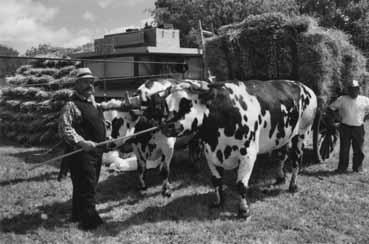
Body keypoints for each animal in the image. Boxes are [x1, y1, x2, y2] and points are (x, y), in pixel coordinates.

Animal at [149, 79, 316, 218]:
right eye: (165, 105)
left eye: (186, 103)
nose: (167, 126)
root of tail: (304, 87)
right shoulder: (210, 155)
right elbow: (216, 181)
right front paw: (219, 202)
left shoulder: (248, 155)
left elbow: (241, 185)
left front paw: (243, 211)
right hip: (283, 137)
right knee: (282, 156)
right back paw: (280, 177)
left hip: (302, 133)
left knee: (296, 160)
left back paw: (293, 185)